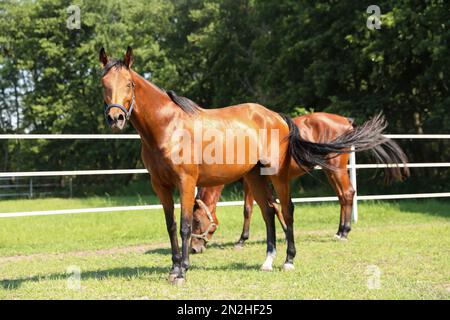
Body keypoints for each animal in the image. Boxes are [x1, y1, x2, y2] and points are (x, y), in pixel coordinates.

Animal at [192, 112, 410, 252]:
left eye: (197, 221)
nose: (194, 249)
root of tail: (346, 121)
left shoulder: (250, 181)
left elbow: (249, 209)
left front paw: (242, 240)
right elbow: (272, 206)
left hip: (337, 168)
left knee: (348, 193)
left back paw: (345, 232)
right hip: (330, 171)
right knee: (342, 196)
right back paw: (339, 231)